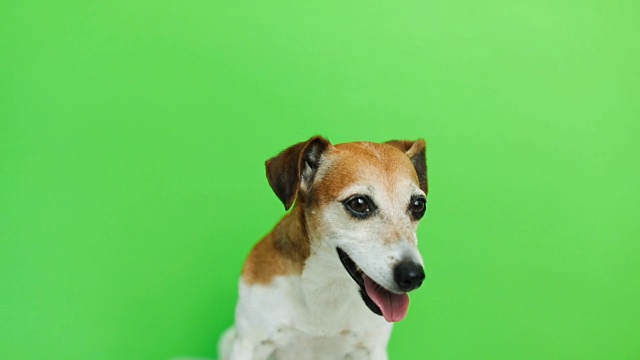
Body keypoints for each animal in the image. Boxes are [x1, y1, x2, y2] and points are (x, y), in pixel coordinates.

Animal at [220, 136, 430, 360]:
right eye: (358, 203)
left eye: (419, 205)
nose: (413, 276)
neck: (327, 287)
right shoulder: (248, 345)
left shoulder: (372, 349)